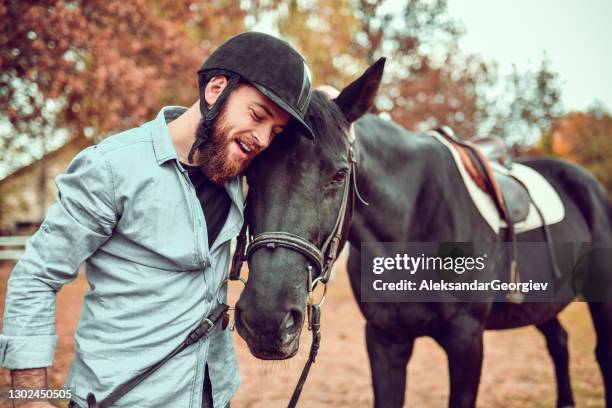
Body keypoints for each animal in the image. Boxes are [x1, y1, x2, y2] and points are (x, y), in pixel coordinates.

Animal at [235, 60, 612, 408]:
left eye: (340, 174)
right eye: (250, 170)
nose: (267, 321)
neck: (413, 226)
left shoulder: (466, 340)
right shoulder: (385, 339)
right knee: (559, 342)